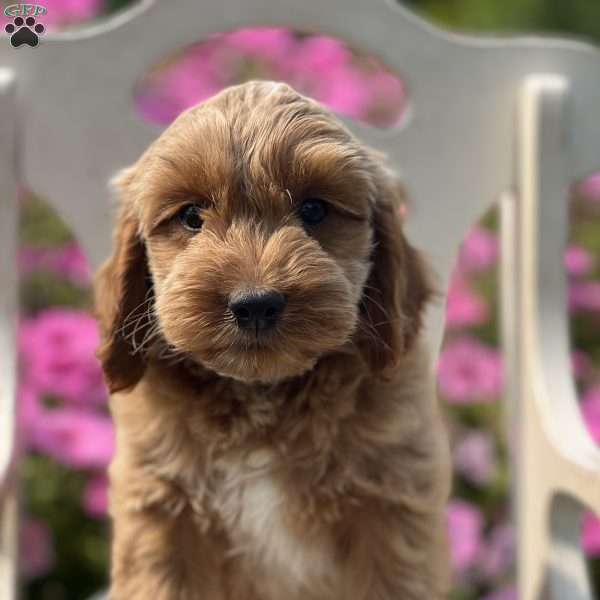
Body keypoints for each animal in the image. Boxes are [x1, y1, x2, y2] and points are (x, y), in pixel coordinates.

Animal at [95, 81, 450, 600]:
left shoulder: (389, 502)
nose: (255, 304)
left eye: (315, 210)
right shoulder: (162, 509)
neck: (261, 400)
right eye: (191, 217)